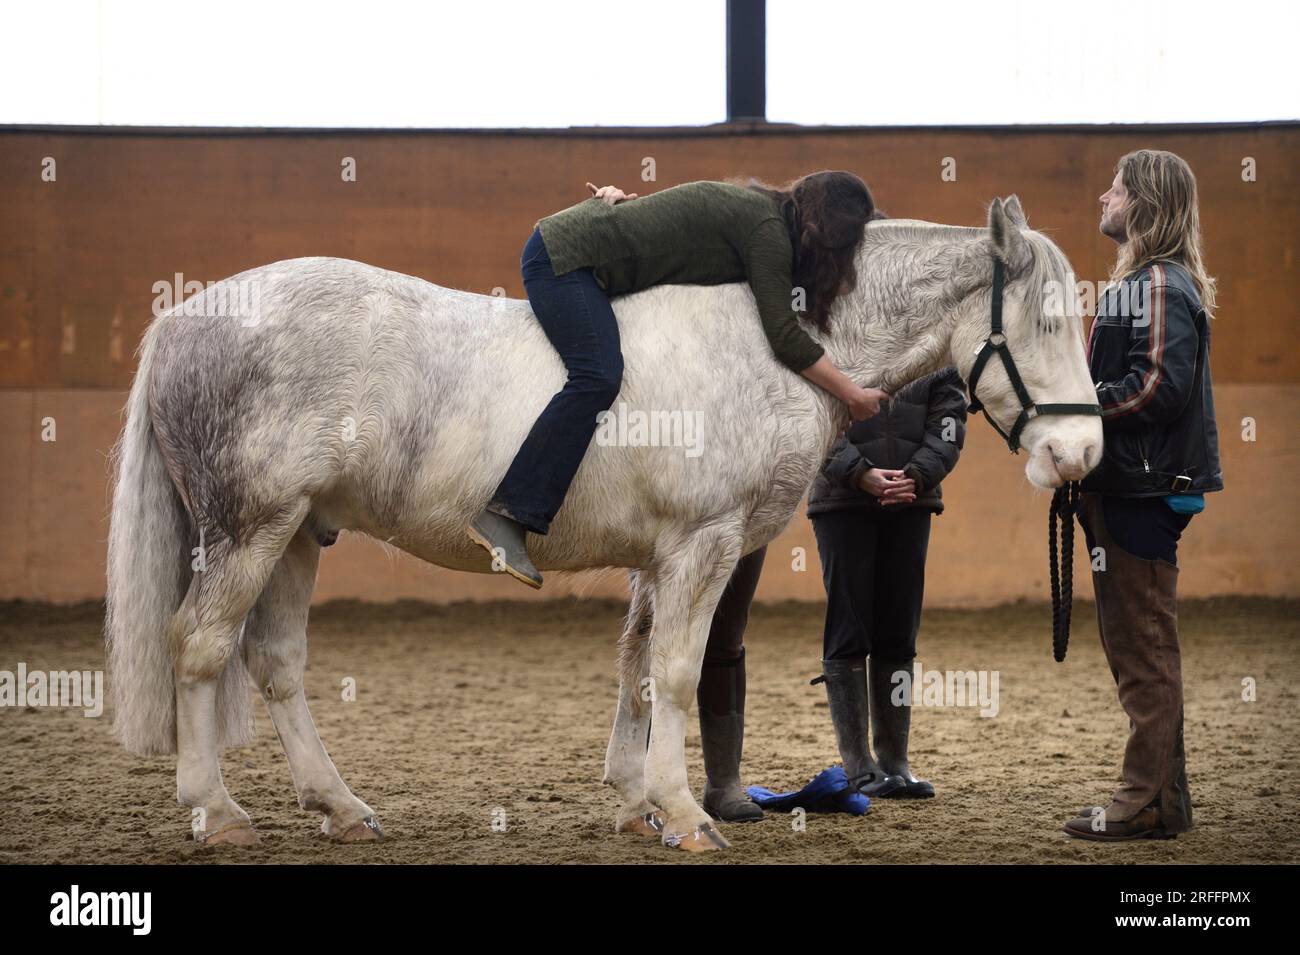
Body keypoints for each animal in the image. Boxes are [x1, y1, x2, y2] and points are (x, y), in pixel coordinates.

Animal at [106, 197, 1097, 857]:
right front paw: (685, 813)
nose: (1080, 451)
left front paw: (633, 801)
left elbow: (637, 667)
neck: (770, 342)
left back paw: (340, 805)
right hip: (249, 529)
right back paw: (217, 810)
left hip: (295, 536)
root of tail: (185, 318)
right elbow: (678, 669)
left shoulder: (661, 558)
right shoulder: (701, 544)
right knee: (200, 646)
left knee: (274, 663)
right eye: (1050, 319)